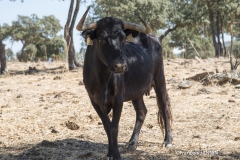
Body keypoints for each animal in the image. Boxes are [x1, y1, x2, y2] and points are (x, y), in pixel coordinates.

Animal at [77, 6, 172, 159]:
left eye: (123, 39)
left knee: (164, 107)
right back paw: (132, 143)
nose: (120, 66)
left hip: (160, 79)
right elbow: (107, 127)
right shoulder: (94, 101)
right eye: (102, 39)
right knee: (141, 112)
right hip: (137, 90)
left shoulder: (118, 99)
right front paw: (110, 152)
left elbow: (114, 127)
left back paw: (168, 141)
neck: (102, 78)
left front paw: (116, 154)